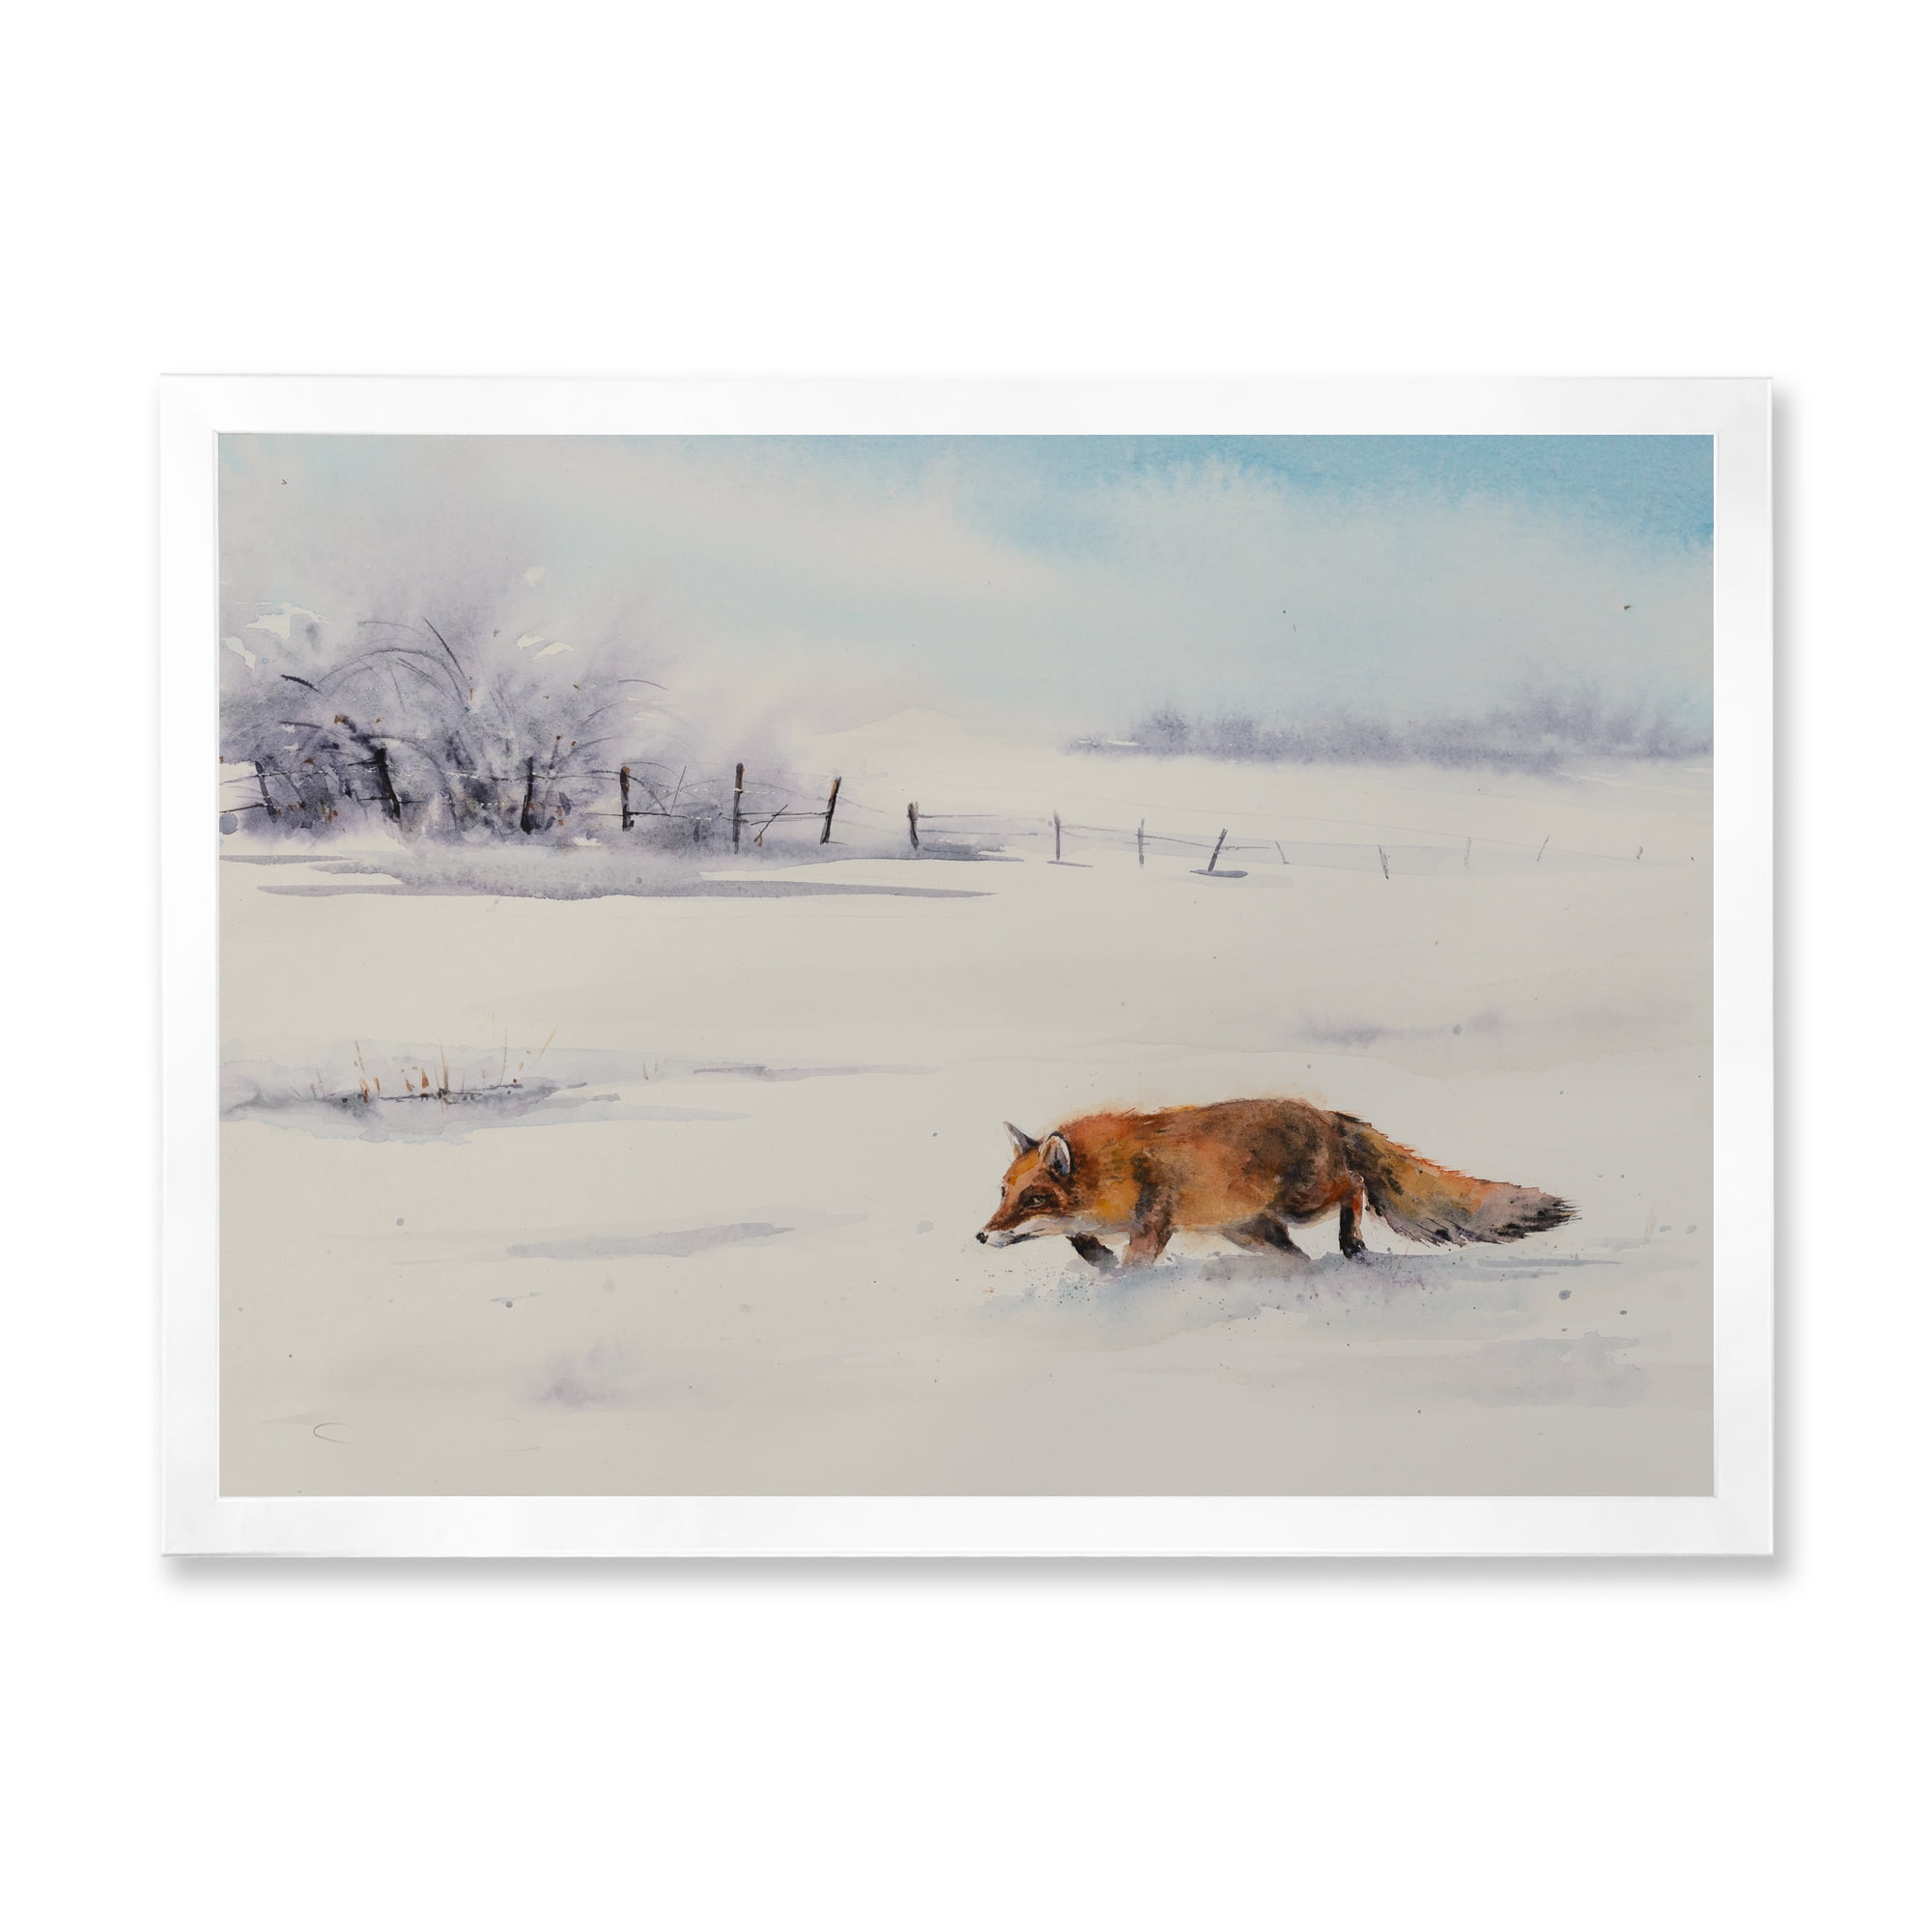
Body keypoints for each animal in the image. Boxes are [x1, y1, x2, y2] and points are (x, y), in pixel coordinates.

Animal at [976, 1099, 1574, 1270]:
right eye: (1003, 1193)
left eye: (1032, 1198)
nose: (982, 1235)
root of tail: (1329, 1114)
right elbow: (1084, 1245)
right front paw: (1097, 1261)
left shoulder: (1153, 1221)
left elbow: (1133, 1264)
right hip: (1253, 1230)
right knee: (1296, 1255)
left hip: (1300, 1204)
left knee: (1355, 1184)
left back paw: (1353, 1244)